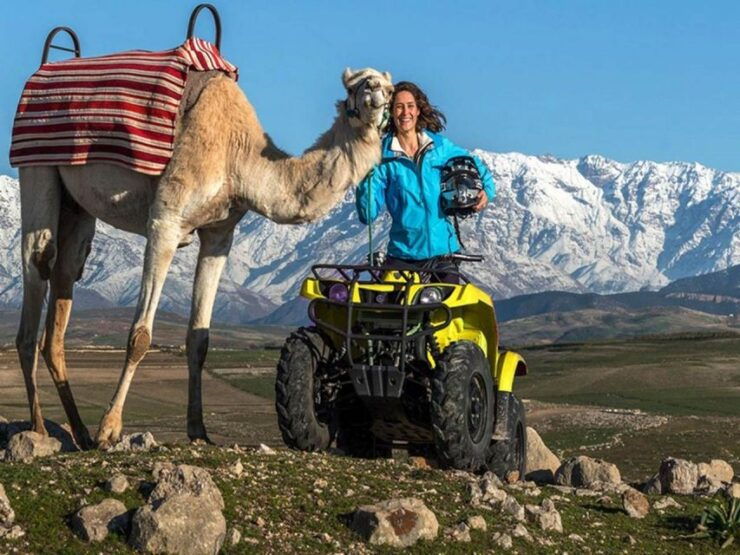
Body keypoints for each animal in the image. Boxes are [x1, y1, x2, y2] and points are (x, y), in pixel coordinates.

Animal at [16, 67, 393, 449]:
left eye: (388, 86)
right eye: (357, 85)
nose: (379, 93)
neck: (239, 157)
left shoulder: (219, 234)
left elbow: (200, 339)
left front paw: (199, 431)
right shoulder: (166, 221)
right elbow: (140, 336)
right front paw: (109, 429)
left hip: (77, 206)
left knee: (65, 275)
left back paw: (79, 431)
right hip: (37, 167)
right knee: (39, 261)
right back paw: (40, 427)